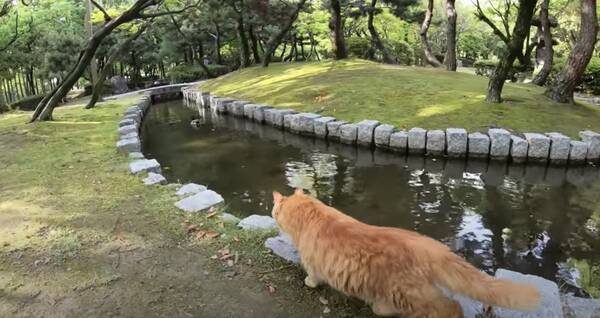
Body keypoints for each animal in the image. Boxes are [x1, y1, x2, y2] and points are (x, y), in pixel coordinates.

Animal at [270, 190, 540, 316]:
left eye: (274, 212)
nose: (274, 219)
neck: (312, 214)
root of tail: (431, 246)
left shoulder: (313, 263)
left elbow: (313, 276)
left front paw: (309, 282)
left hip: (410, 294)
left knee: (450, 307)